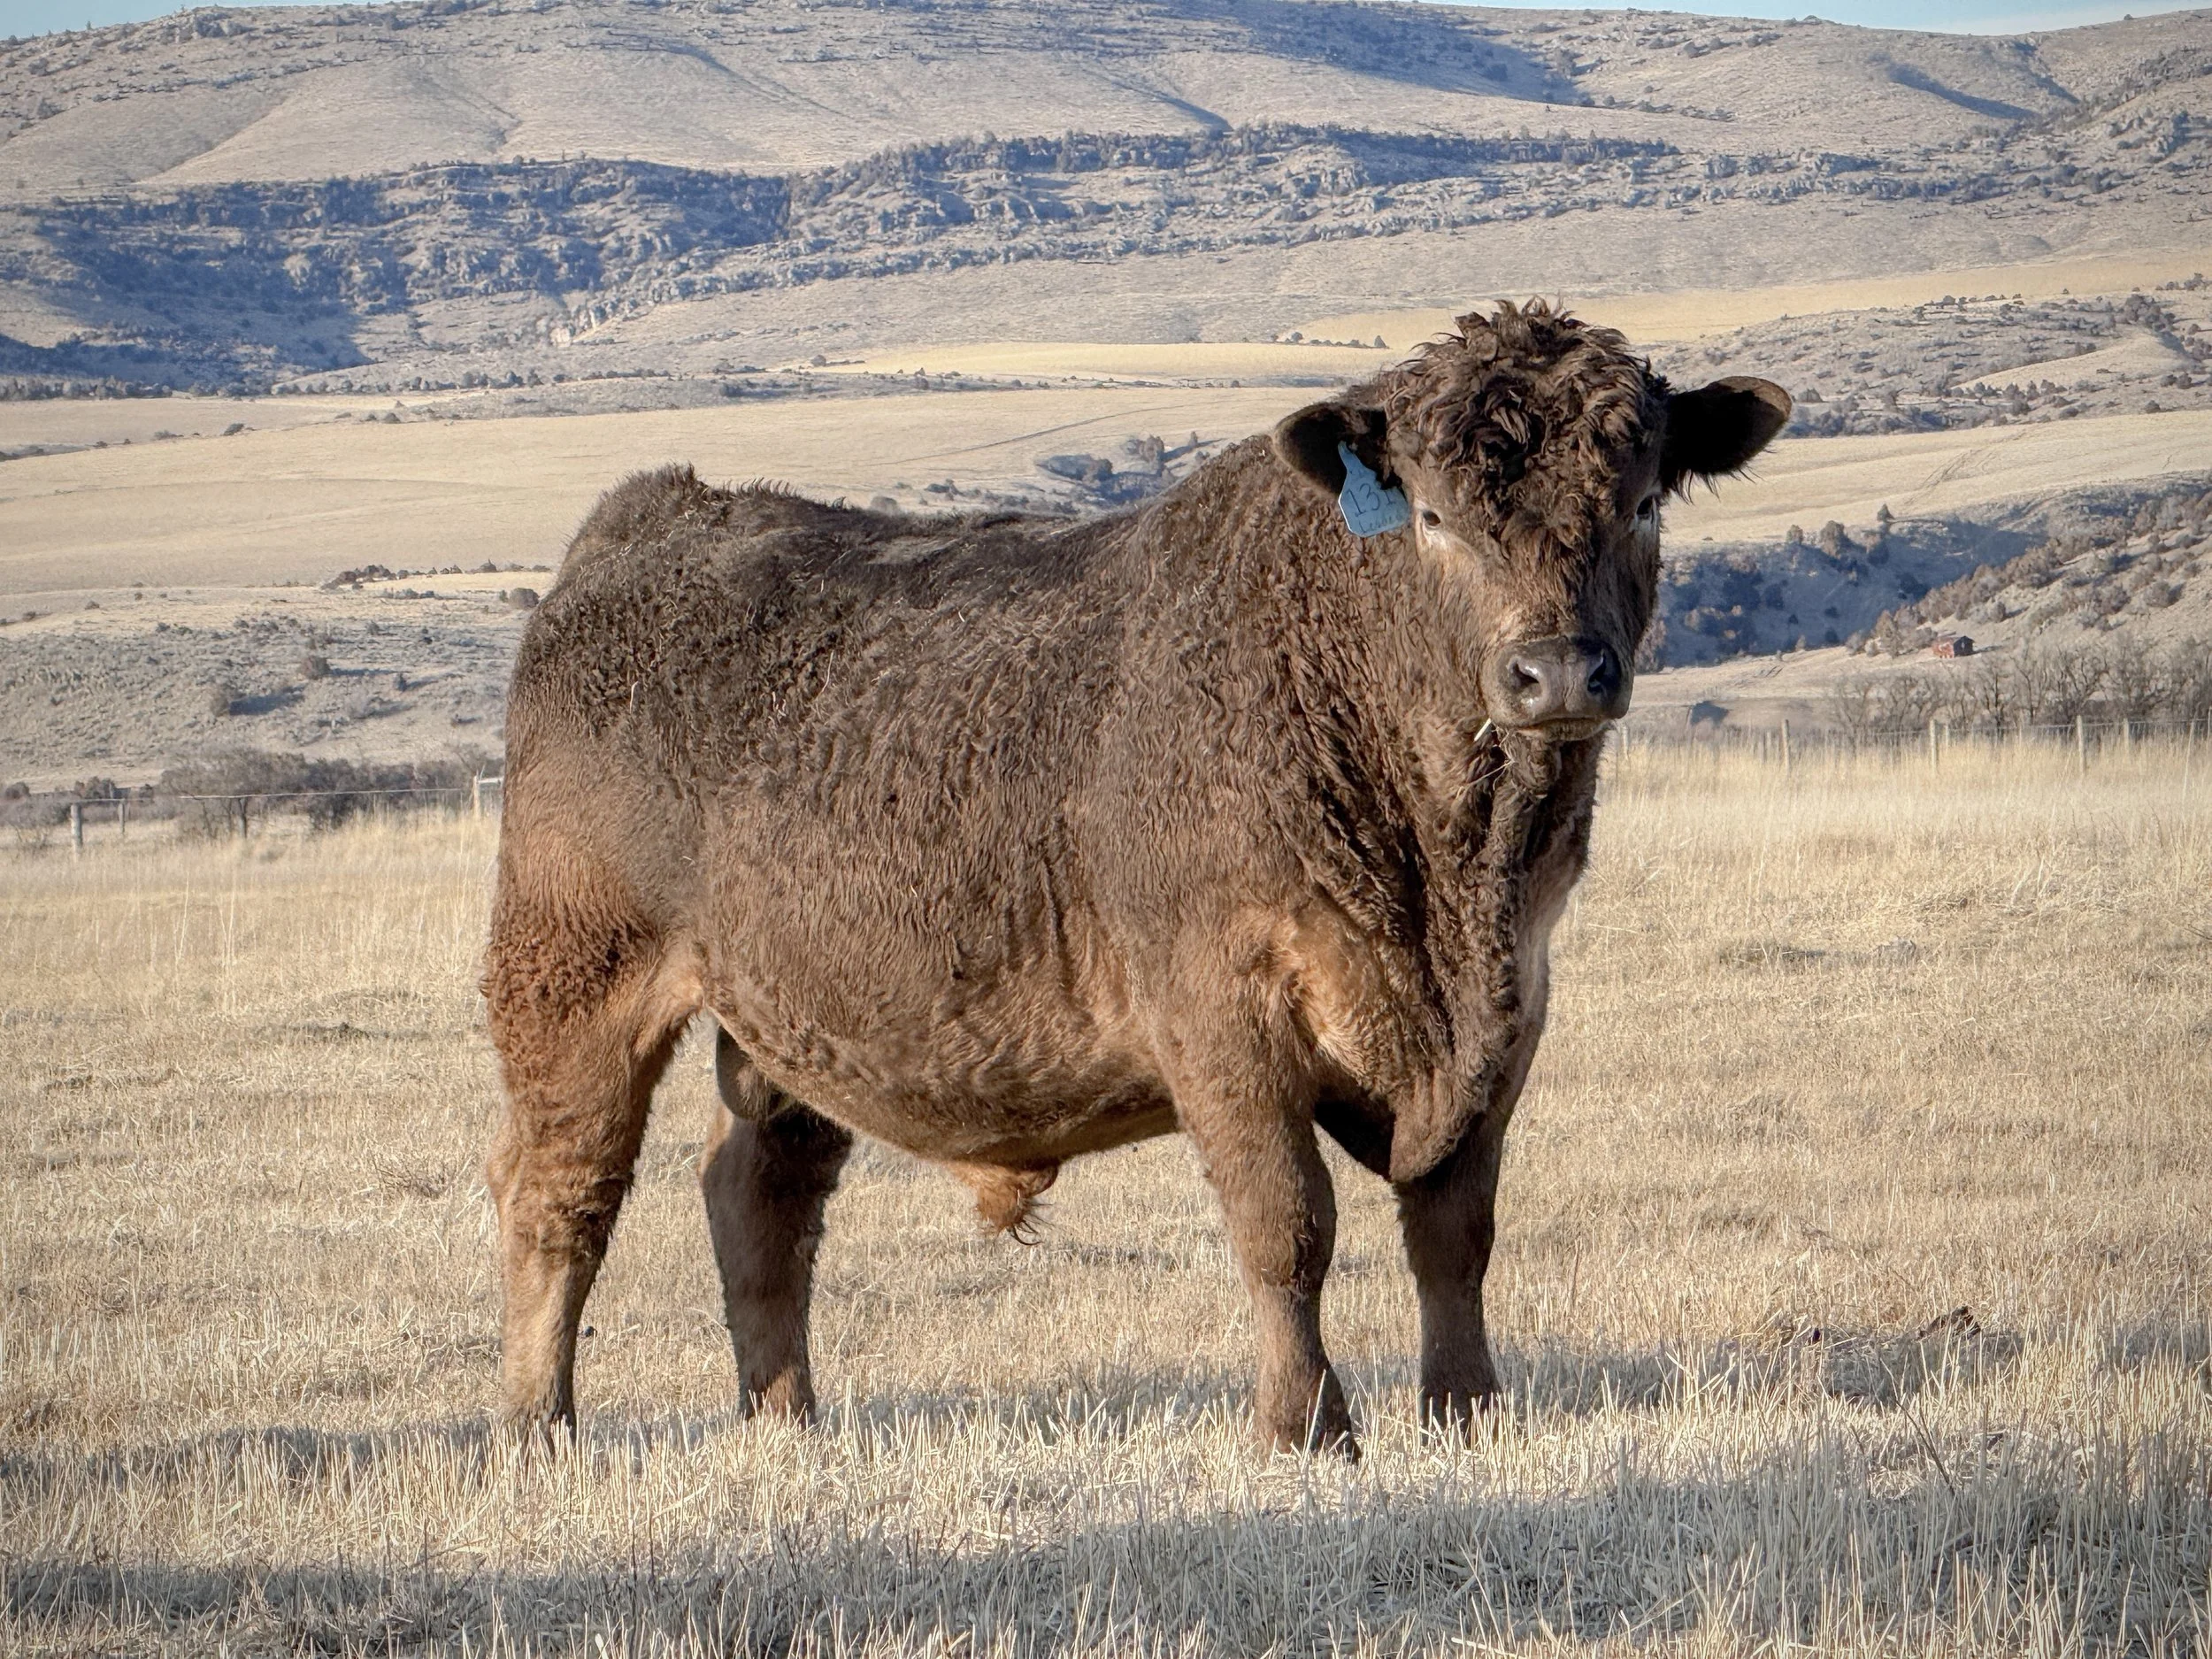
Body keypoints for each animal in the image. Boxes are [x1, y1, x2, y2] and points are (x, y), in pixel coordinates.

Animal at [482, 302, 1788, 1455]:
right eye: (1428, 511)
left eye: (1642, 501)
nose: (1555, 670)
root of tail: (655, 517)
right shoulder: (1222, 1010)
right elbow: (1286, 1227)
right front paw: (1306, 1426)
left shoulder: (1510, 1010)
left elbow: (1454, 1232)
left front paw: (1465, 1411)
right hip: (573, 982)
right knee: (559, 1201)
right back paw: (539, 1431)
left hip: (785, 1021)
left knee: (758, 1198)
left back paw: (788, 1423)